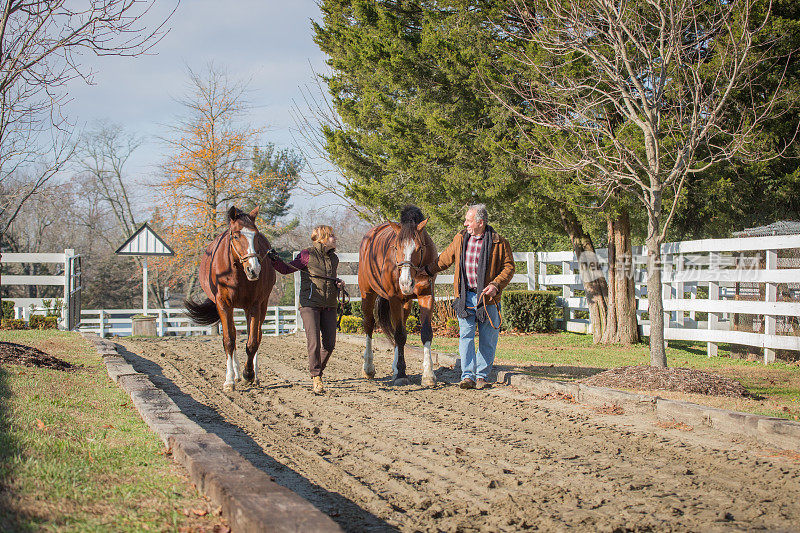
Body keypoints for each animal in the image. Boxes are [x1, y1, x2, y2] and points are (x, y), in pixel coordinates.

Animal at [184, 206, 276, 392]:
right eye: (236, 235)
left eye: (256, 236)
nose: (254, 269)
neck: (236, 272)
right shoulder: (223, 305)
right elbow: (228, 340)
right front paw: (229, 380)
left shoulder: (254, 305)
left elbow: (252, 341)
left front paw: (249, 374)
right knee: (232, 334)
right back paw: (235, 372)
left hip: (260, 306)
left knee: (256, 335)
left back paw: (253, 374)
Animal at [360, 206, 438, 384]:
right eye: (395, 247)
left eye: (419, 248)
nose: (405, 283)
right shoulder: (394, 299)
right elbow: (400, 335)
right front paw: (402, 374)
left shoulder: (426, 296)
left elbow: (425, 333)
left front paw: (428, 374)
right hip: (367, 293)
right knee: (369, 325)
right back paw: (368, 368)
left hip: (405, 303)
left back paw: (394, 368)